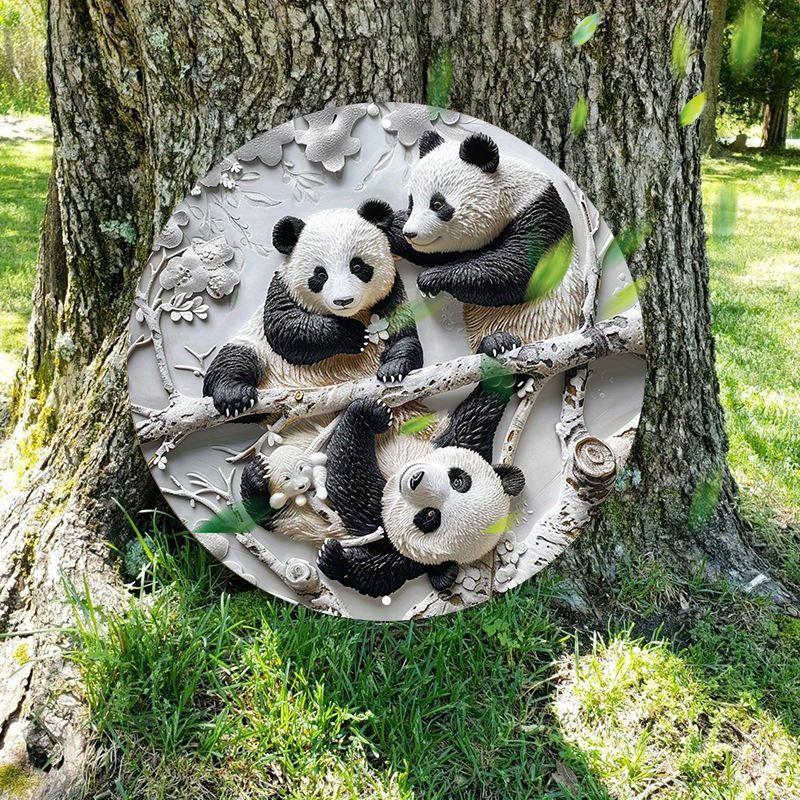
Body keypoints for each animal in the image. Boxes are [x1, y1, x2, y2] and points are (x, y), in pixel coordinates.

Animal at [202, 199, 424, 419]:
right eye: (320, 275)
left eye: (357, 267)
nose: (343, 300)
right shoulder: (283, 286)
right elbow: (286, 329)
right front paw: (354, 334)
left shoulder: (389, 292)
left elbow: (402, 332)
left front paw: (394, 368)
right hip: (259, 352)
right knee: (233, 360)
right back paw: (234, 397)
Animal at [309, 331, 526, 598]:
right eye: (459, 480)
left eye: (430, 516)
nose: (415, 479)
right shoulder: (463, 440)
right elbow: (481, 410)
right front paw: (499, 345)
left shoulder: (394, 543)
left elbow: (353, 483)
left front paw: (334, 559)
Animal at [387, 130, 585, 353]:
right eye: (412, 203)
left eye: (437, 204)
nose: (410, 233)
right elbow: (439, 255)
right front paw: (386, 224)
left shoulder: (540, 214)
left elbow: (521, 270)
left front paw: (430, 279)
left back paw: (500, 342)